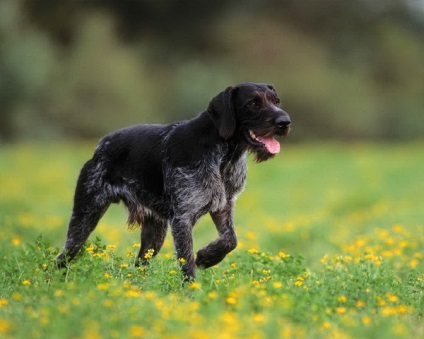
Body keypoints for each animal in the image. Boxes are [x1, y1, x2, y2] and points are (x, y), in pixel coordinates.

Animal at [57, 83, 292, 282]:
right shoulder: (182, 218)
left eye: (276, 101)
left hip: (154, 232)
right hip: (86, 214)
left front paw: (207, 257)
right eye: (253, 103)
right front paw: (191, 292)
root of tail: (101, 145)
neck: (225, 155)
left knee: (139, 264)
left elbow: (230, 240)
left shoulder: (224, 206)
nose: (285, 122)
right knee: (63, 256)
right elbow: (187, 263)